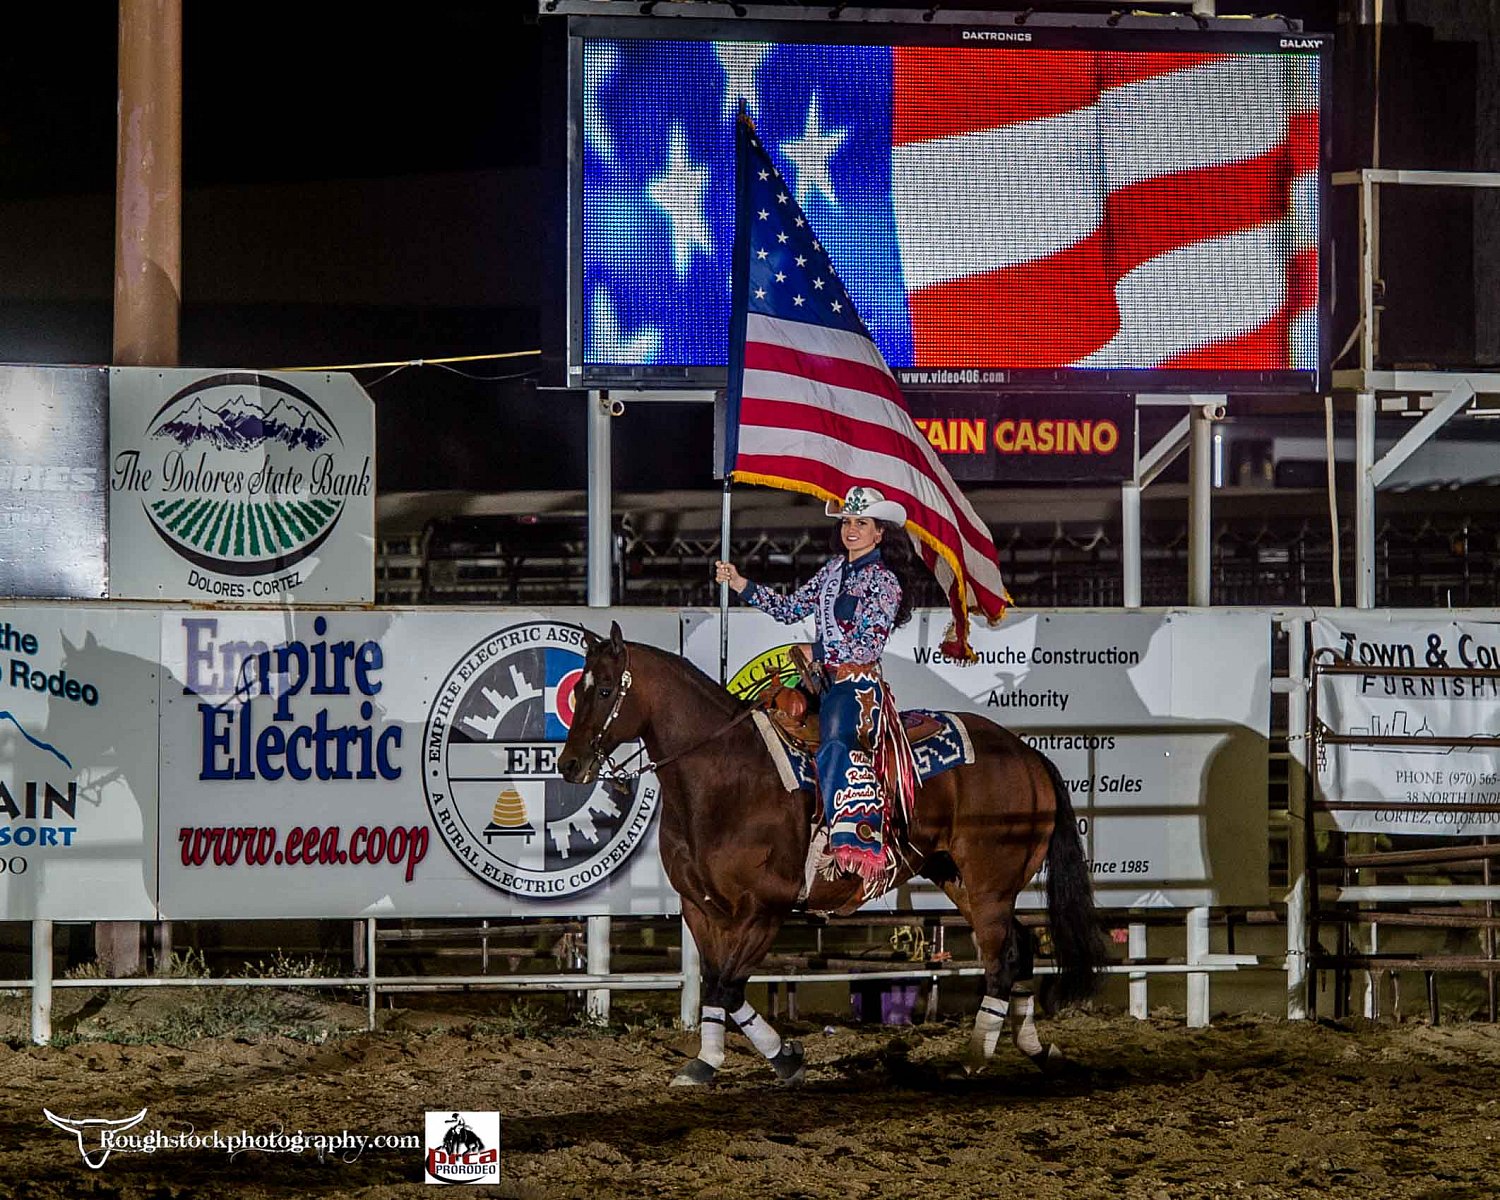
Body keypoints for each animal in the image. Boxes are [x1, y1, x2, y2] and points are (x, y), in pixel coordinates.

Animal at [558, 627, 1110, 1086]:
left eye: (603, 691)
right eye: (578, 690)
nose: (570, 764)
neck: (725, 774)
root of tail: (1028, 755)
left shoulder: (765, 908)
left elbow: (730, 988)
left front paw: (785, 1058)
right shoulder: (700, 908)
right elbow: (716, 985)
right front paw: (709, 1063)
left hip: (991, 883)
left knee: (1003, 958)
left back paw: (975, 1056)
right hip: (961, 880)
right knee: (1021, 948)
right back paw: (1037, 1049)